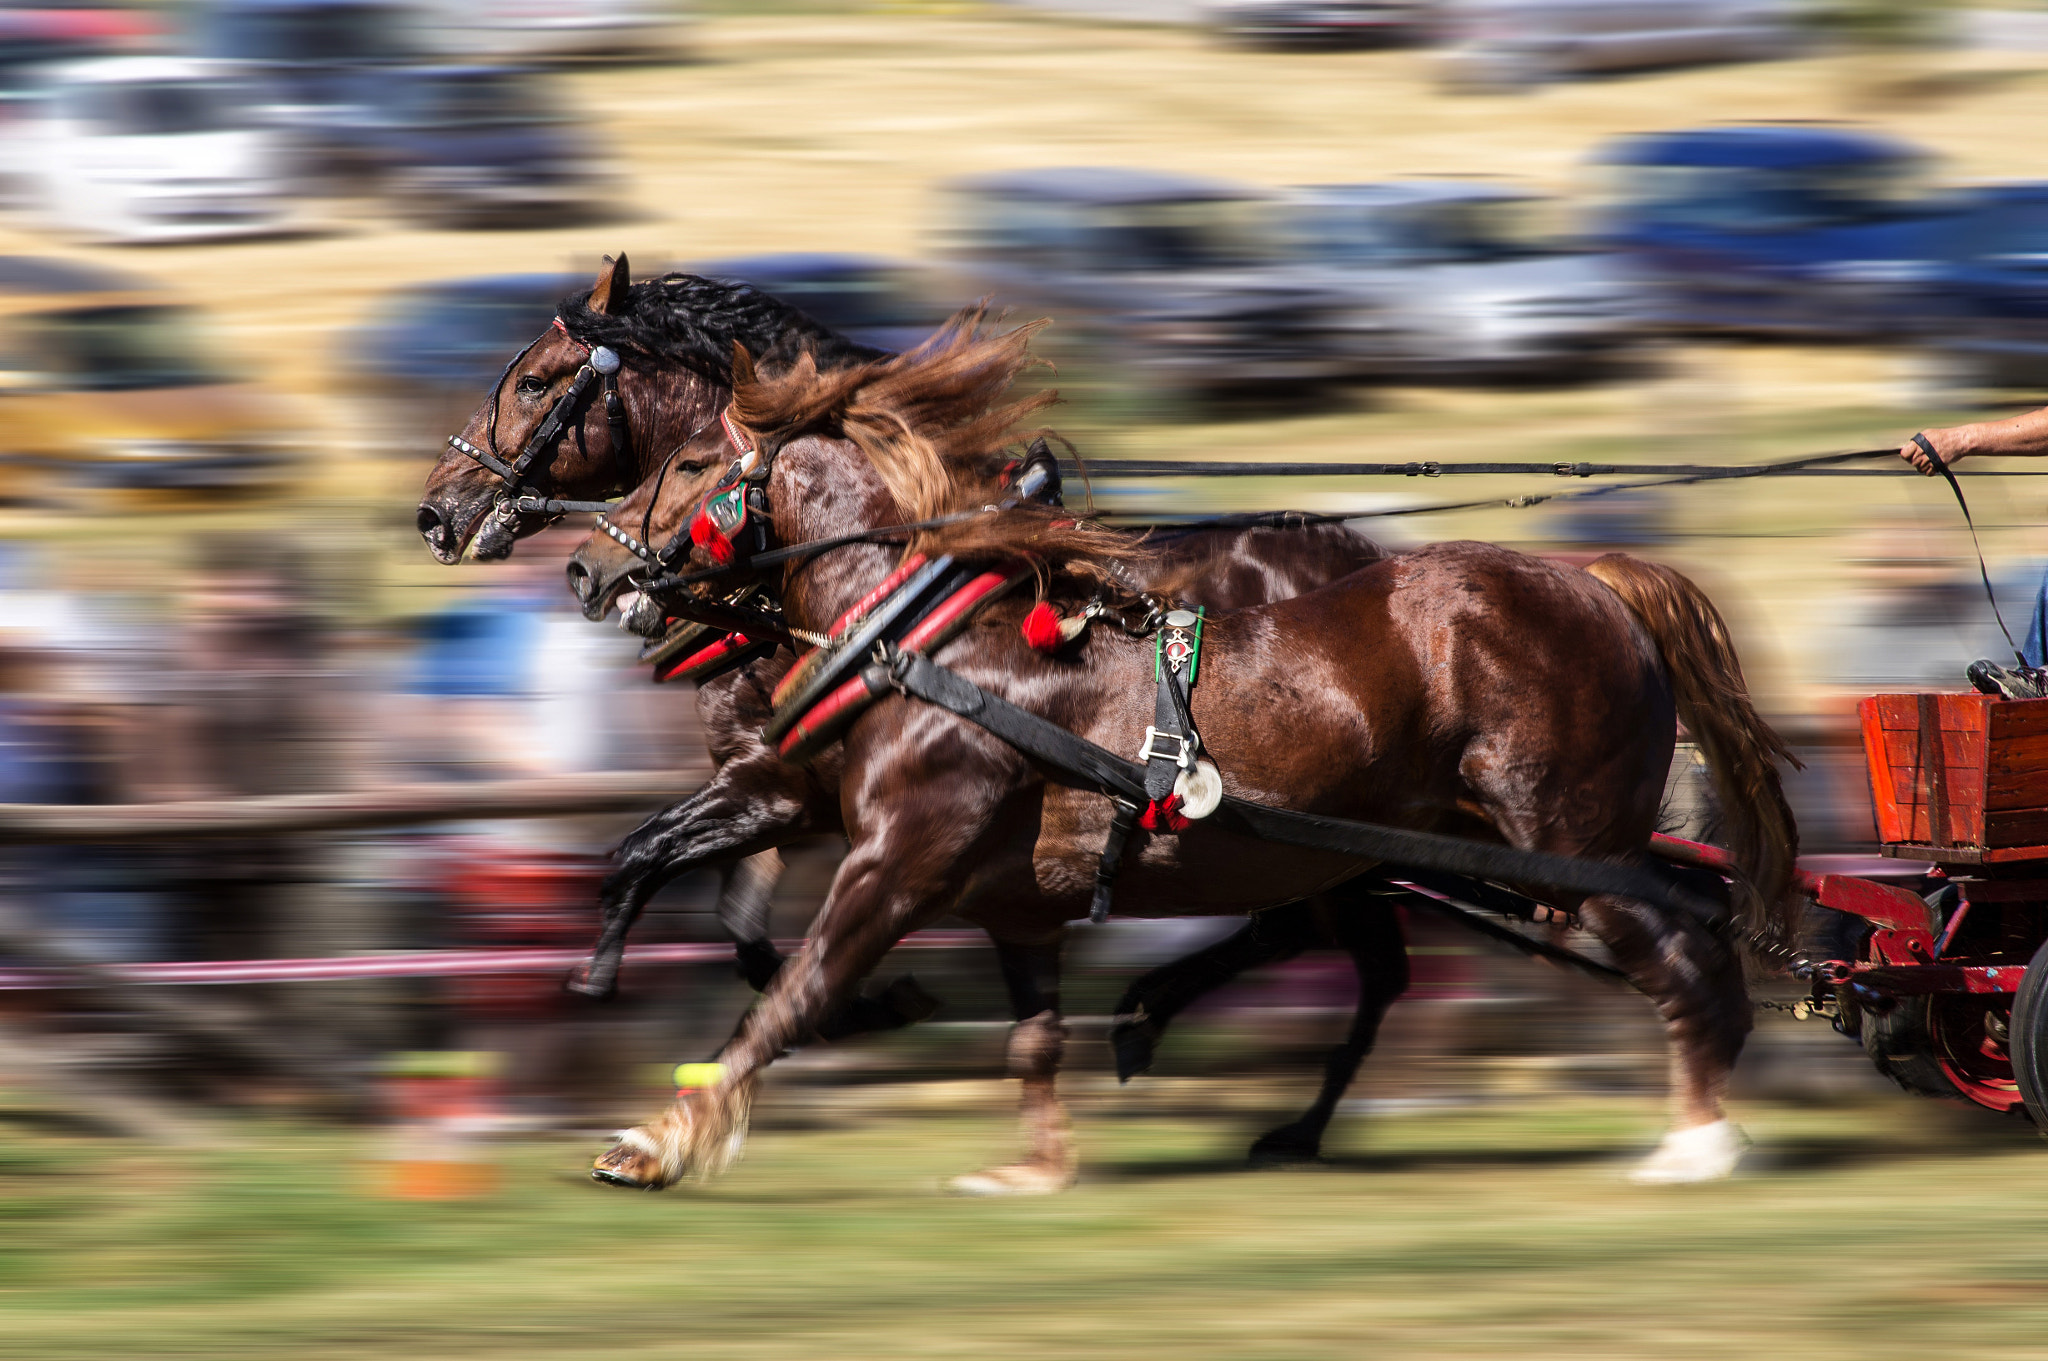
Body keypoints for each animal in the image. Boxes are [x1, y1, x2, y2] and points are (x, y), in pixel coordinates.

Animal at [589, 319, 1794, 1187]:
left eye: (690, 461)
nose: (595, 573)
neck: (924, 641)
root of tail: (1600, 584)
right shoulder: (1001, 894)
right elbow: (1031, 1034)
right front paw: (1037, 1164)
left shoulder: (896, 859)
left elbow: (791, 995)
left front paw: (655, 1140)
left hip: (1565, 843)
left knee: (1678, 958)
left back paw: (1696, 1140)